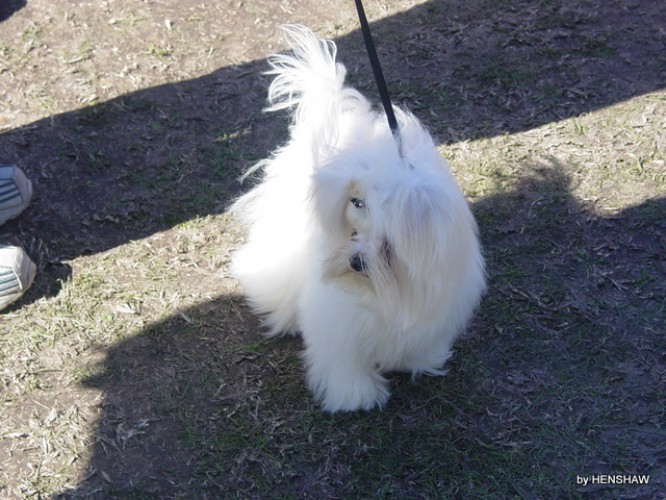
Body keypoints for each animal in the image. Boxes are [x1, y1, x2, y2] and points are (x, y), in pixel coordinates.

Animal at [230, 25, 485, 412]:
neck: (389, 291)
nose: (355, 262)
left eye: (388, 247)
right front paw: (356, 396)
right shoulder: (338, 324)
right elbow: (344, 362)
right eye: (353, 231)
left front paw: (418, 362)